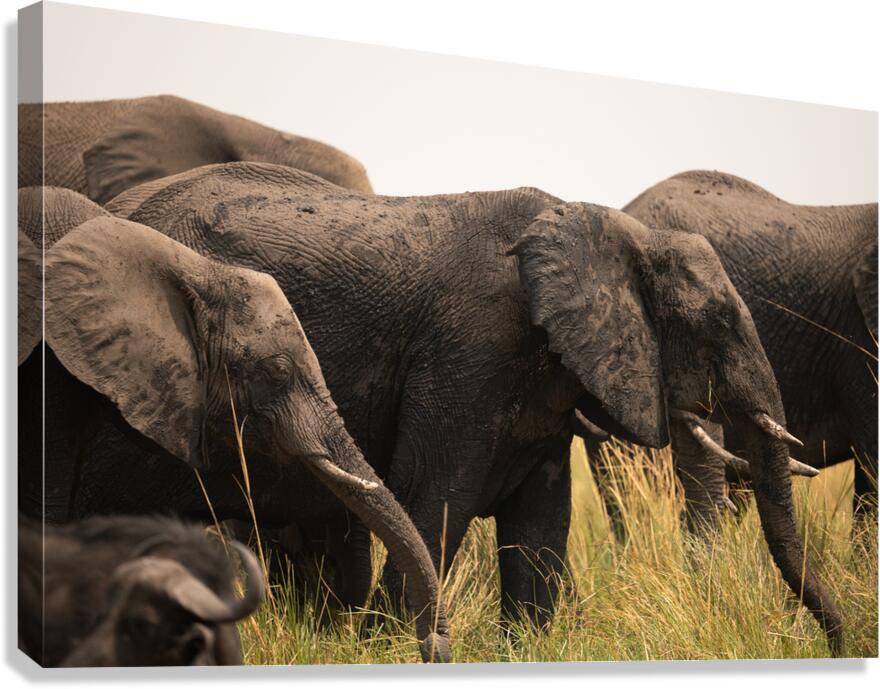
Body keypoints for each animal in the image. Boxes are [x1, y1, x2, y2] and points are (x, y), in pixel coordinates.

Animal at [88, 161, 843, 655]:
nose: (833, 641)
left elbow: (540, 519)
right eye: (716, 326)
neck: (607, 226)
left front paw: (524, 650)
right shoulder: (469, 349)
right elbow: (435, 499)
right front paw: (388, 652)